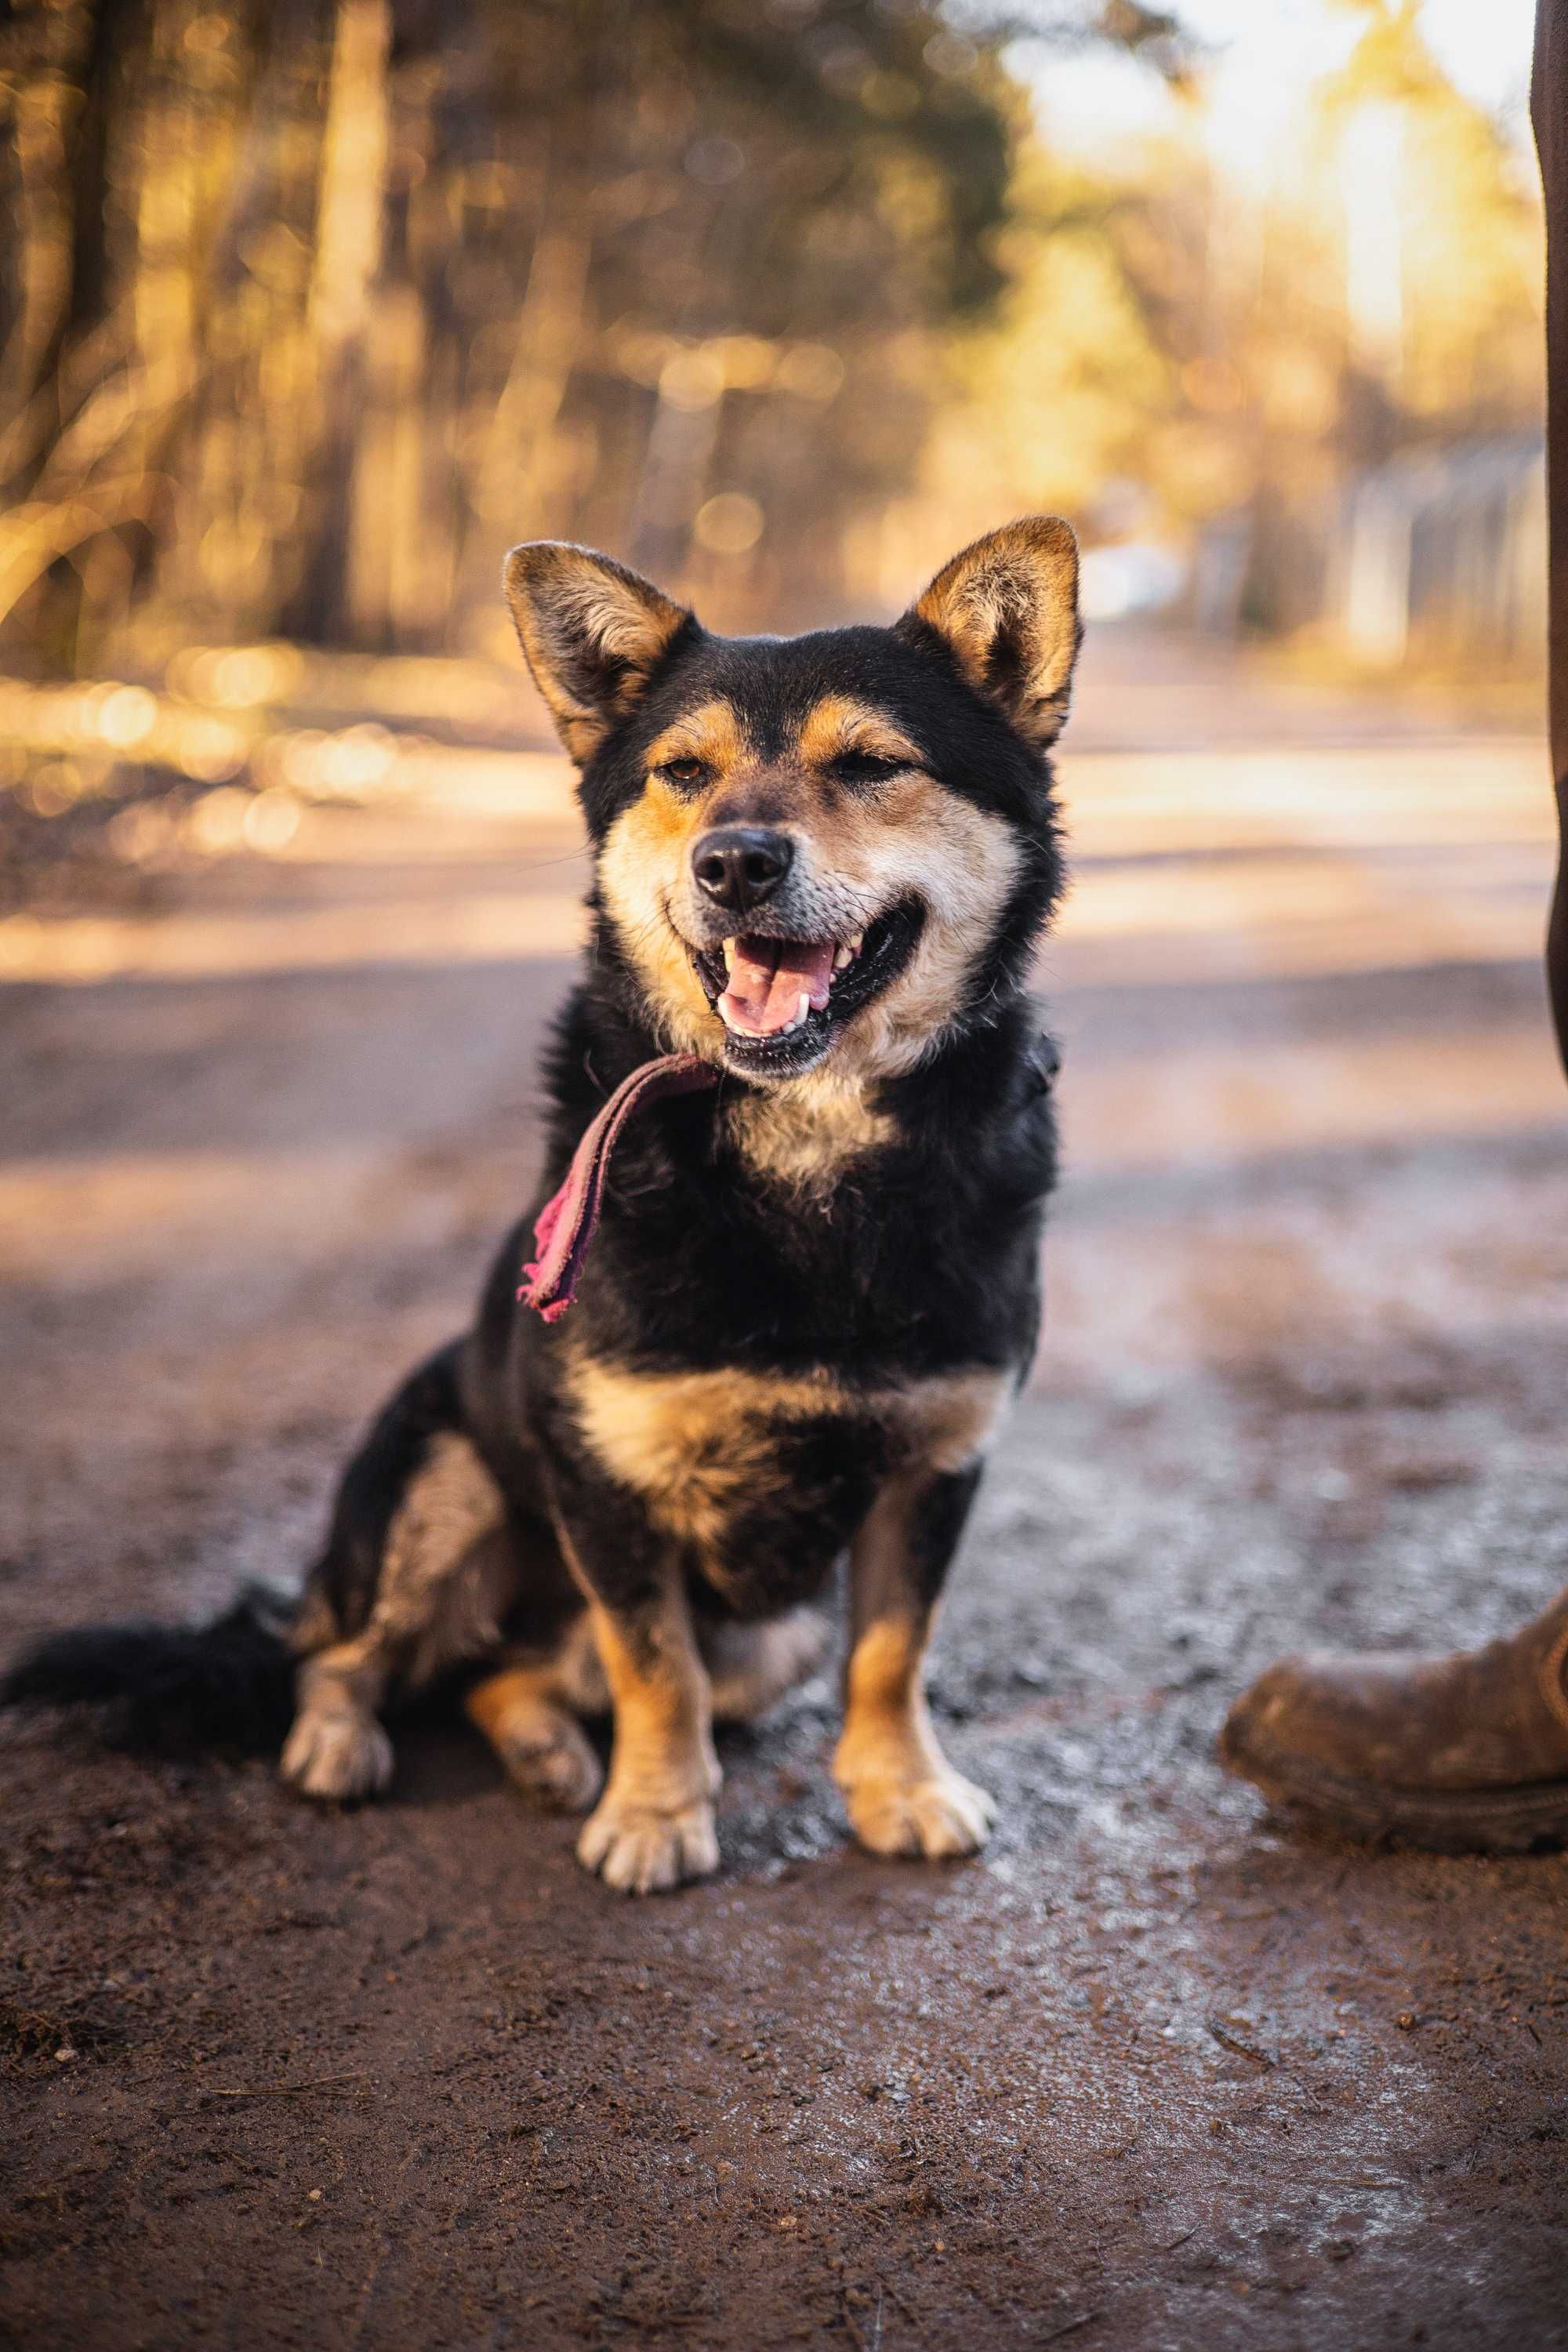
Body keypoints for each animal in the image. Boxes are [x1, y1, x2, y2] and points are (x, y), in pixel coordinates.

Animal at [5, 520, 1081, 1891]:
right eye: (684, 772)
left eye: (872, 763)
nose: (734, 862)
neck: (807, 1145)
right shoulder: (601, 1478)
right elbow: (654, 1665)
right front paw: (657, 1816)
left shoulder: (936, 1462)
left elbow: (892, 1654)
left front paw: (902, 1788)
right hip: (440, 1477)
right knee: (346, 1655)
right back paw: (345, 1744)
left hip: (771, 1630)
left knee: (502, 1677)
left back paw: (550, 1754)